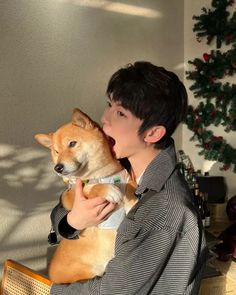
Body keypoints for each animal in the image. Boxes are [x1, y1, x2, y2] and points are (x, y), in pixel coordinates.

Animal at [34, 108, 136, 284]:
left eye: (72, 144)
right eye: (56, 151)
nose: (57, 167)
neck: (102, 175)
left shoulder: (124, 175)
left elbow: (128, 184)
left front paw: (131, 201)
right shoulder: (70, 196)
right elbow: (90, 188)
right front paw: (108, 190)